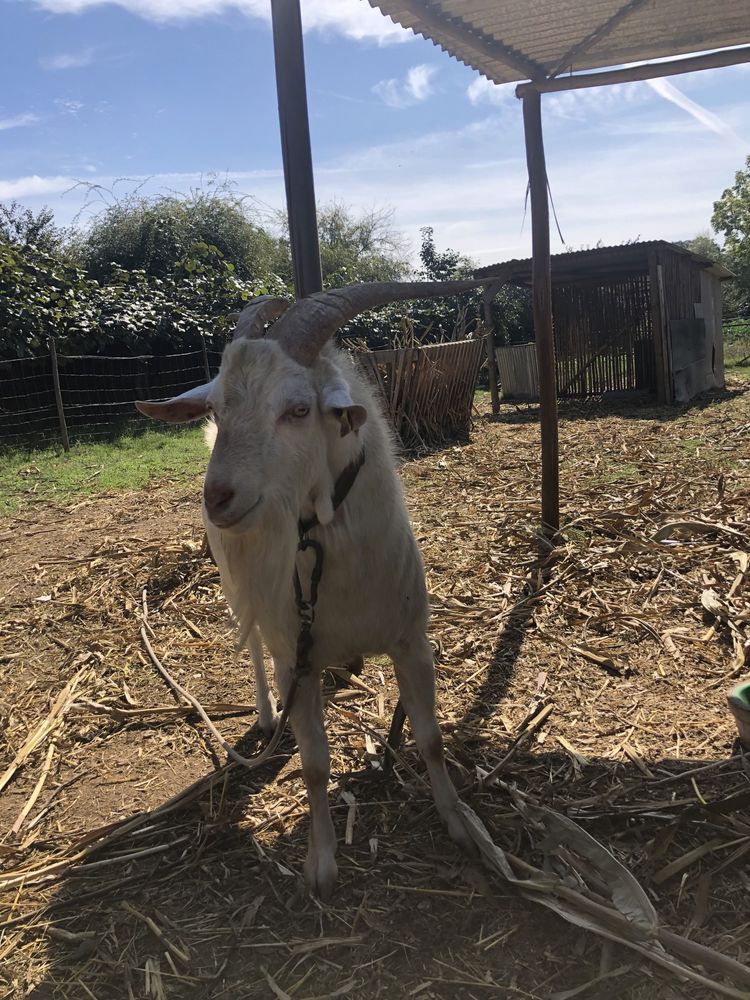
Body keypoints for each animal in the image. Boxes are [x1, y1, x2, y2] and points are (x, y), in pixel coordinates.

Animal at [137, 284, 478, 900]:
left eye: (298, 410)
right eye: (217, 408)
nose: (217, 498)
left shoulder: (411, 640)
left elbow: (431, 739)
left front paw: (459, 822)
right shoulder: (298, 657)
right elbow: (316, 768)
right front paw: (321, 865)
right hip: (239, 587)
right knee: (253, 648)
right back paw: (269, 716)